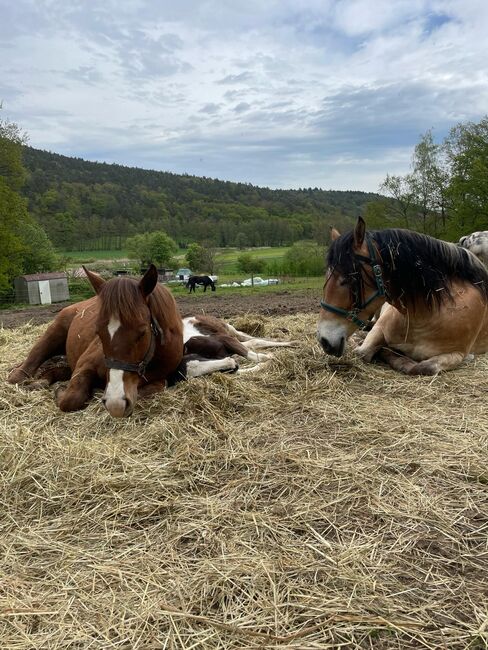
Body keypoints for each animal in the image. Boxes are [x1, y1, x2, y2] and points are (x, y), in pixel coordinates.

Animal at [7, 266, 292, 418]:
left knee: (252, 341)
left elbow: (252, 355)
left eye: (143, 331)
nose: (115, 402)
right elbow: (72, 398)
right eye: (98, 332)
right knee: (28, 366)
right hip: (54, 333)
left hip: (229, 330)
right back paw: (30, 378)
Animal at [316, 216, 488, 374]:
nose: (324, 341)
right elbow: (362, 352)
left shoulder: (457, 354)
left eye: (348, 279)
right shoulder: (379, 329)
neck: (427, 316)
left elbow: (423, 367)